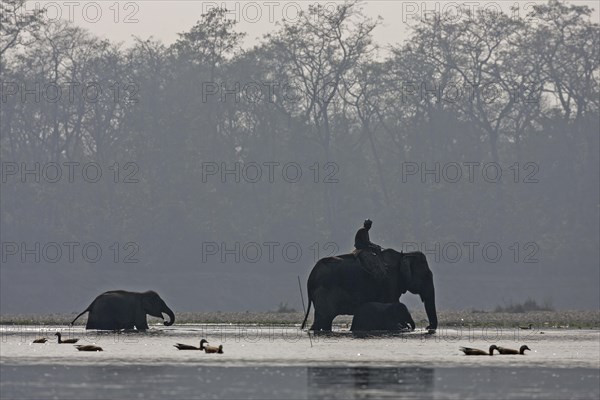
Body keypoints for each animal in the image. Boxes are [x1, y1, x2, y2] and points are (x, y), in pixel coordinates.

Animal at [300, 250, 436, 332]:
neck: (404, 254)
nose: (428, 327)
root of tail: (310, 279)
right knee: (323, 318)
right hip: (325, 291)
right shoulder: (390, 281)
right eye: (426, 276)